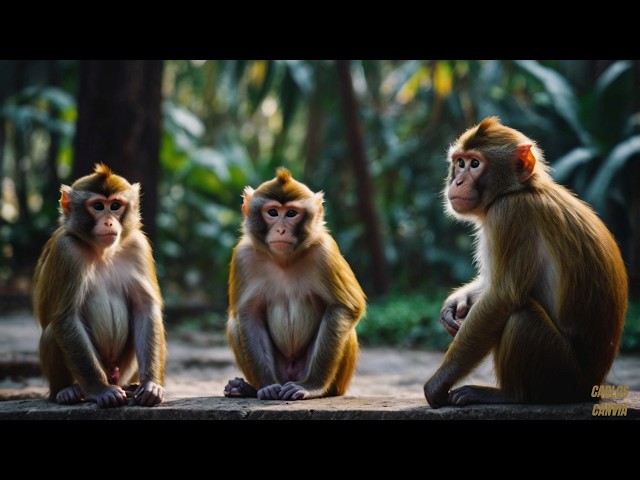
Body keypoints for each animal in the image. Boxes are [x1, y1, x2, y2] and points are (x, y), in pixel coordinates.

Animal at [32, 163, 166, 408]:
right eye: (97, 206)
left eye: (115, 206)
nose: (109, 222)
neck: (102, 252)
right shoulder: (67, 251)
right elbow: (66, 317)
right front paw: (101, 390)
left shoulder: (138, 246)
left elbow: (144, 309)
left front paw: (151, 384)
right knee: (51, 332)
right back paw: (67, 391)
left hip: (121, 369)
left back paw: (130, 386)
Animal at [224, 167, 366, 400]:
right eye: (273, 212)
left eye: (291, 213)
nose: (281, 230)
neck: (284, 261)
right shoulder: (243, 257)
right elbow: (248, 314)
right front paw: (268, 386)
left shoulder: (325, 252)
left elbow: (344, 307)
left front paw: (312, 386)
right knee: (235, 324)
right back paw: (246, 388)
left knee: (346, 329)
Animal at [424, 116, 628, 408]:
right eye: (460, 162)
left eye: (475, 164)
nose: (458, 181)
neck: (522, 189)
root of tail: (591, 387)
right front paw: (455, 304)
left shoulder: (509, 213)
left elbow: (502, 297)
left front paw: (437, 385)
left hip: (561, 373)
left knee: (521, 315)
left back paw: (509, 395)